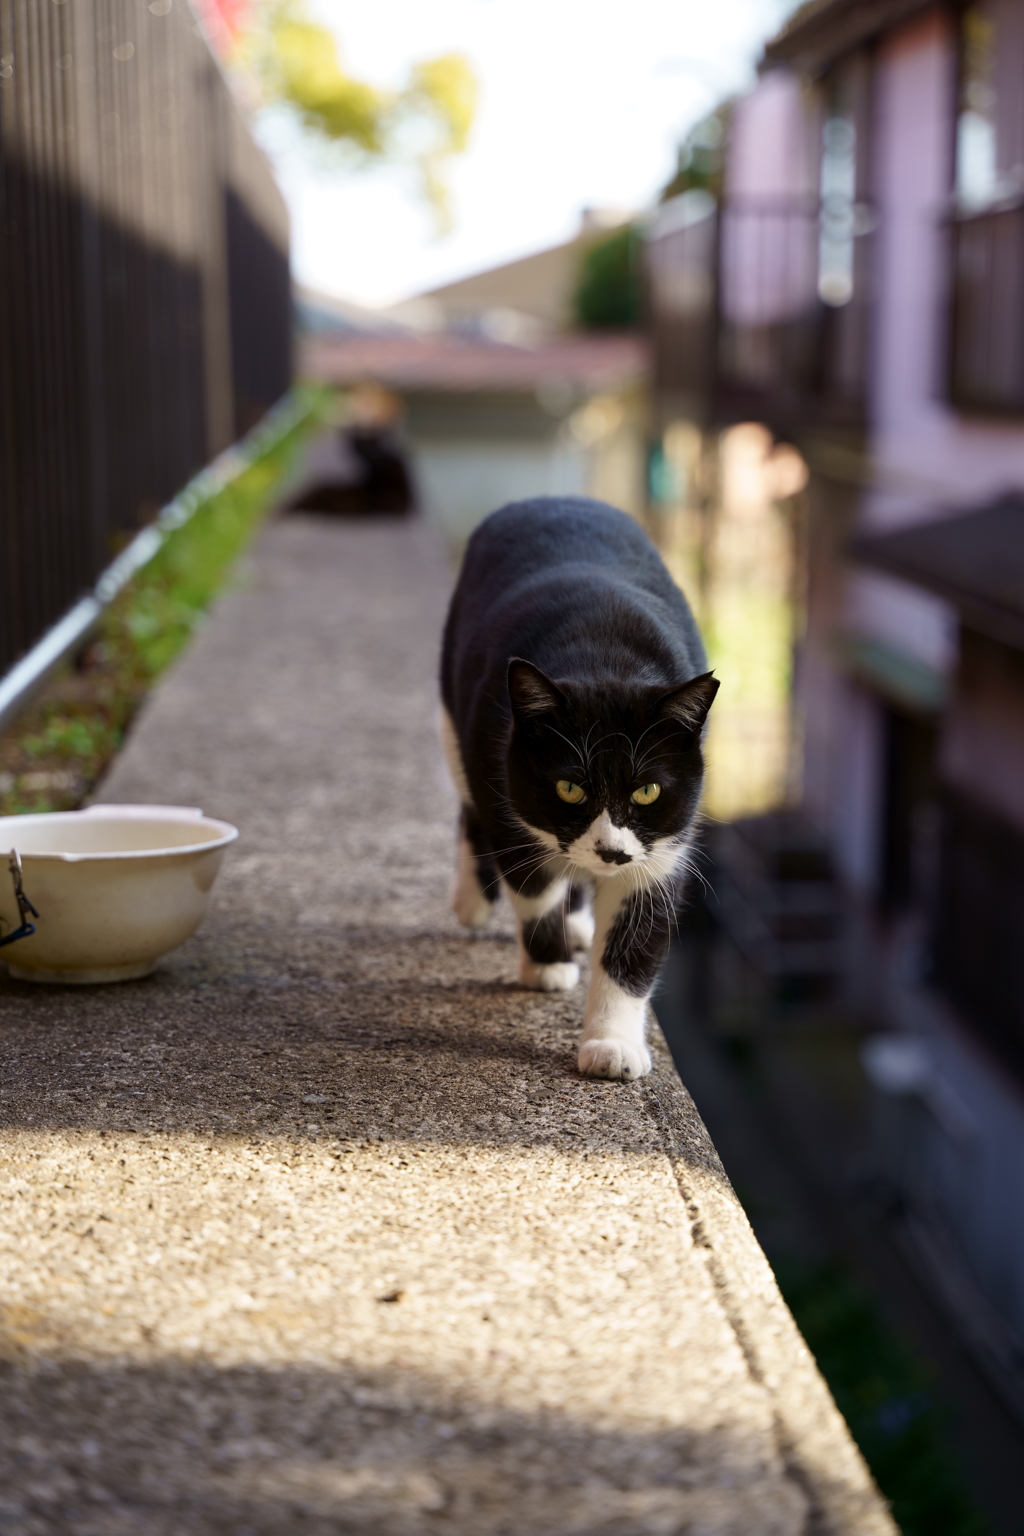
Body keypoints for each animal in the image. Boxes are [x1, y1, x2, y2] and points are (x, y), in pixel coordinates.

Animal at [442, 500, 721, 1081]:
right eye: (569, 788)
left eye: (647, 792)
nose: (609, 850)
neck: (605, 656)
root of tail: (550, 498)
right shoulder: (508, 795)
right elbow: (532, 885)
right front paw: (547, 965)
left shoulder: (663, 848)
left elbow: (634, 943)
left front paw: (612, 1046)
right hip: (452, 715)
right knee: (468, 800)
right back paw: (475, 903)